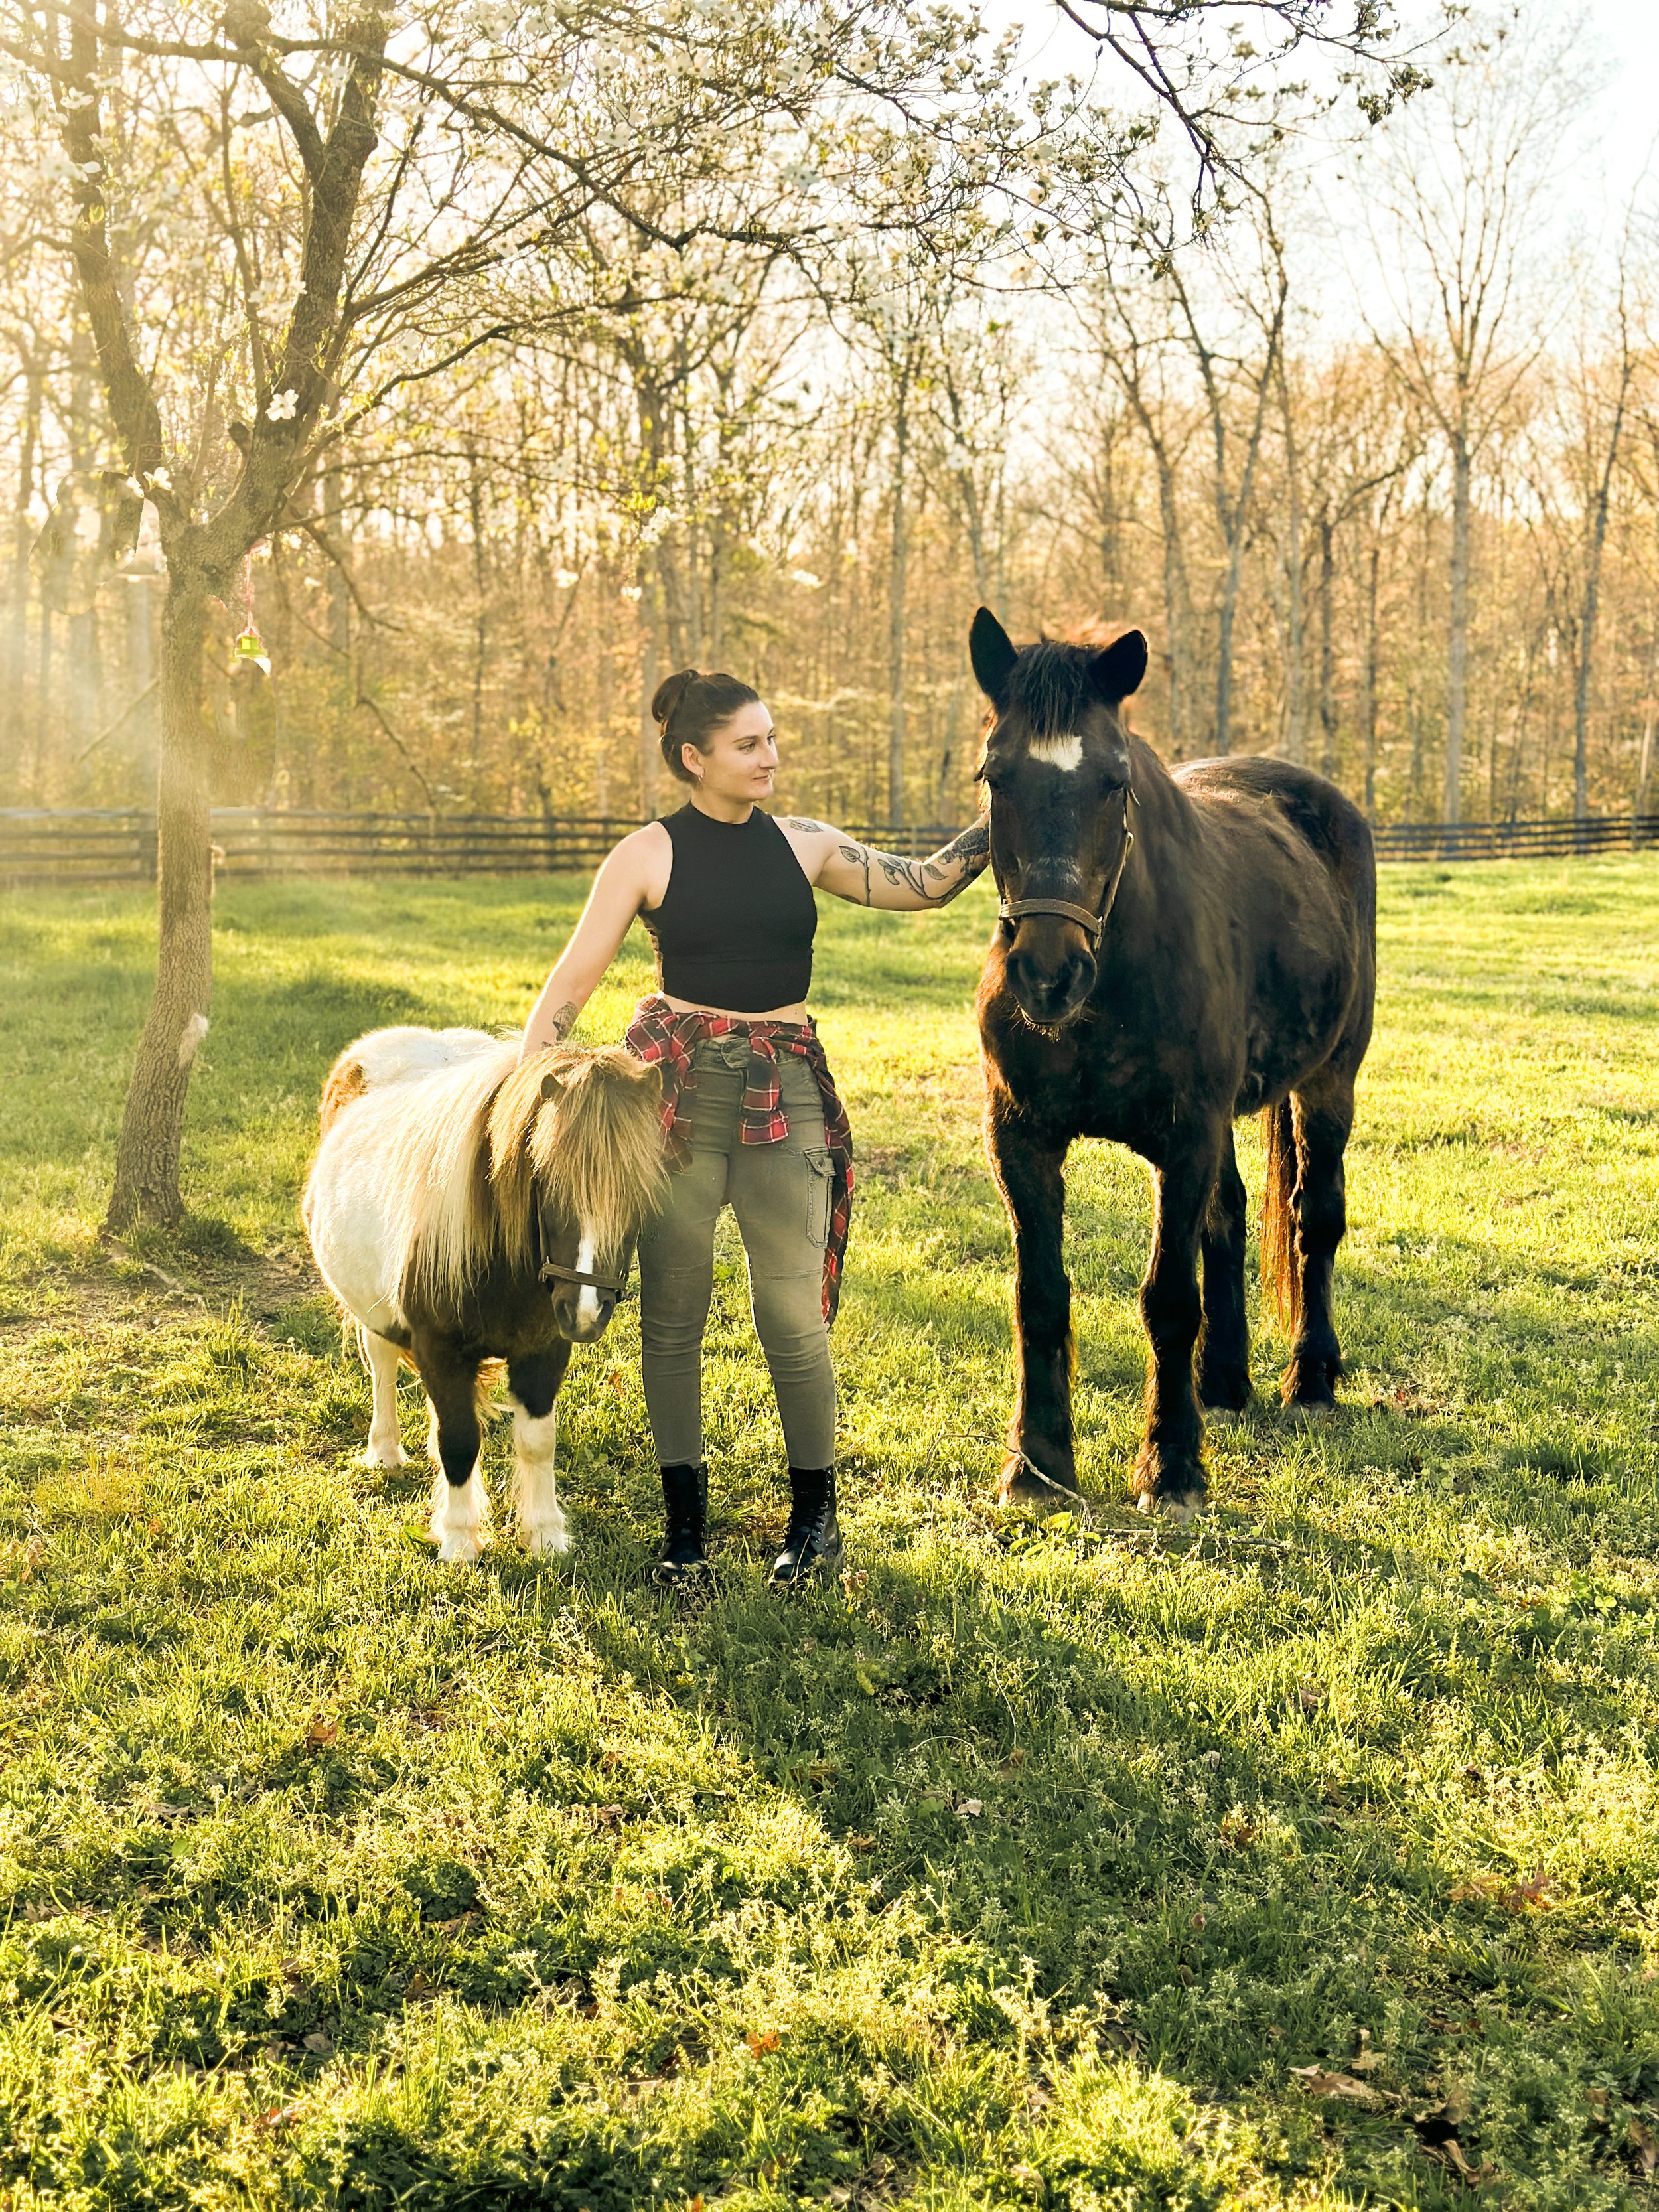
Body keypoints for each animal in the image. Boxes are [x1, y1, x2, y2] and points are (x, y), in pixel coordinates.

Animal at [302, 1026, 666, 1562]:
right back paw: (386, 1452)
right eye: (544, 1179)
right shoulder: (439, 1349)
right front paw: (459, 1539)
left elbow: (537, 1442)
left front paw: (543, 1533)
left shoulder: (544, 1350)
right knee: (383, 1370)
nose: (585, 1312)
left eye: (639, 1192)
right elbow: (457, 1441)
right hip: (374, 1312)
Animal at [969, 607, 1376, 1520]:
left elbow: (1166, 1297)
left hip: (1329, 1079)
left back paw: (1308, 1379)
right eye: (995, 776)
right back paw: (1221, 1382)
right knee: (1228, 1220)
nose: (1047, 975)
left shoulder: (1183, 1138)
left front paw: (1172, 1466)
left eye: (1113, 782)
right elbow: (1038, 1295)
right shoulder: (1022, 1139)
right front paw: (1038, 1464)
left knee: (1314, 1216)